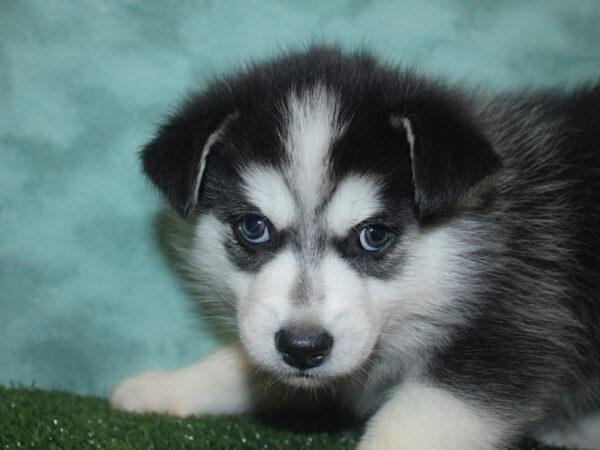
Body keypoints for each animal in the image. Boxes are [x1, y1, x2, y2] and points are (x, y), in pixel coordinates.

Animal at [110, 45, 600, 450]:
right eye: (253, 227)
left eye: (374, 235)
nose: (302, 347)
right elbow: (247, 365)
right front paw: (167, 386)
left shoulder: (514, 337)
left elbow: (412, 424)